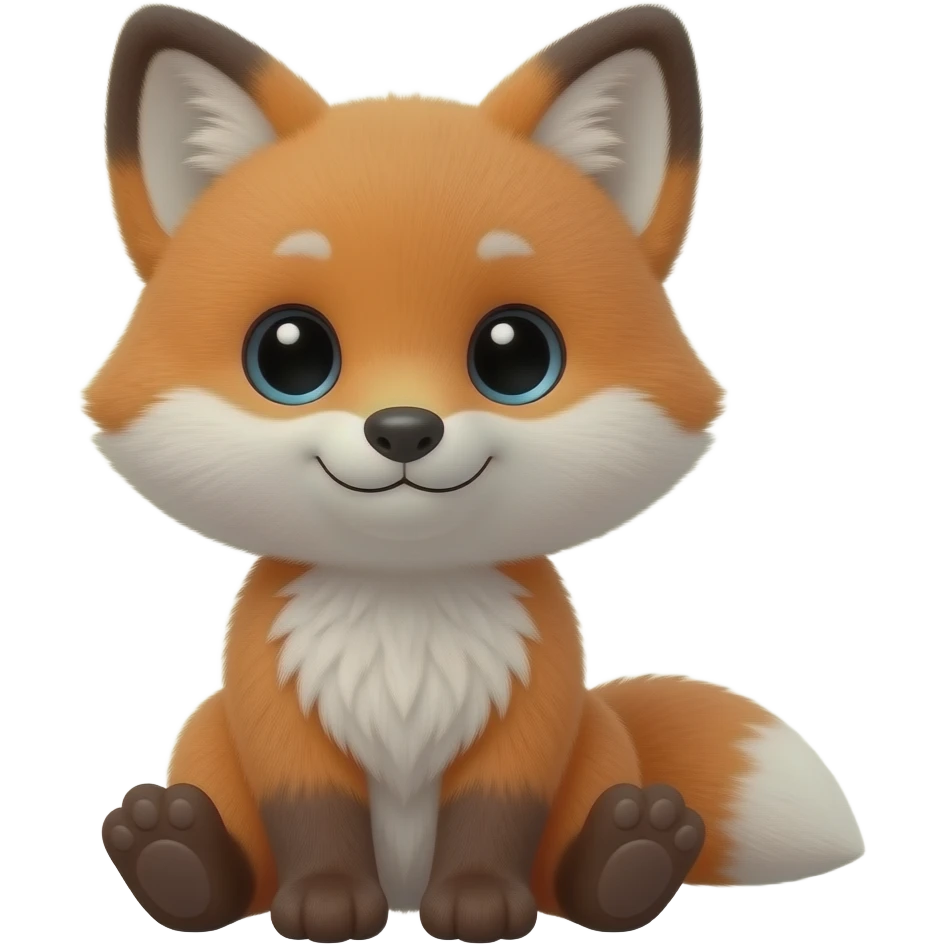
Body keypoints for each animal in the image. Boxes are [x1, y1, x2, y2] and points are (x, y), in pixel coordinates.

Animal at [88, 2, 866, 941]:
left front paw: (481, 903)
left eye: (515, 354)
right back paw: (177, 858)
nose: (403, 430)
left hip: (596, 745)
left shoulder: (532, 715)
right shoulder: (276, 711)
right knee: (226, 853)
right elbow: (313, 816)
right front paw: (325, 900)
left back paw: (630, 860)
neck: (404, 604)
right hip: (208, 736)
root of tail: (404, 884)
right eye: (290, 354)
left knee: (581, 861)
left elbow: (493, 818)